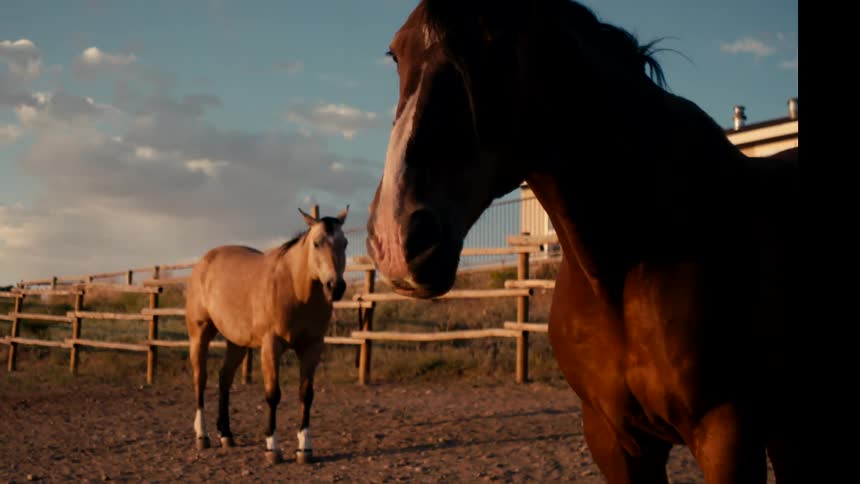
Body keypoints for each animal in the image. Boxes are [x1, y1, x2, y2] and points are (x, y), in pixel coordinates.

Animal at [185, 206, 349, 464]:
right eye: (317, 243)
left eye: (345, 243)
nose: (336, 287)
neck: (294, 288)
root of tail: (203, 262)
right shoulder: (271, 346)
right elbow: (273, 394)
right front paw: (273, 448)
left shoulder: (312, 347)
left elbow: (306, 395)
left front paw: (304, 449)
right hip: (199, 333)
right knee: (200, 379)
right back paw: (203, 436)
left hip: (236, 342)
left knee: (224, 378)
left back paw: (226, 435)